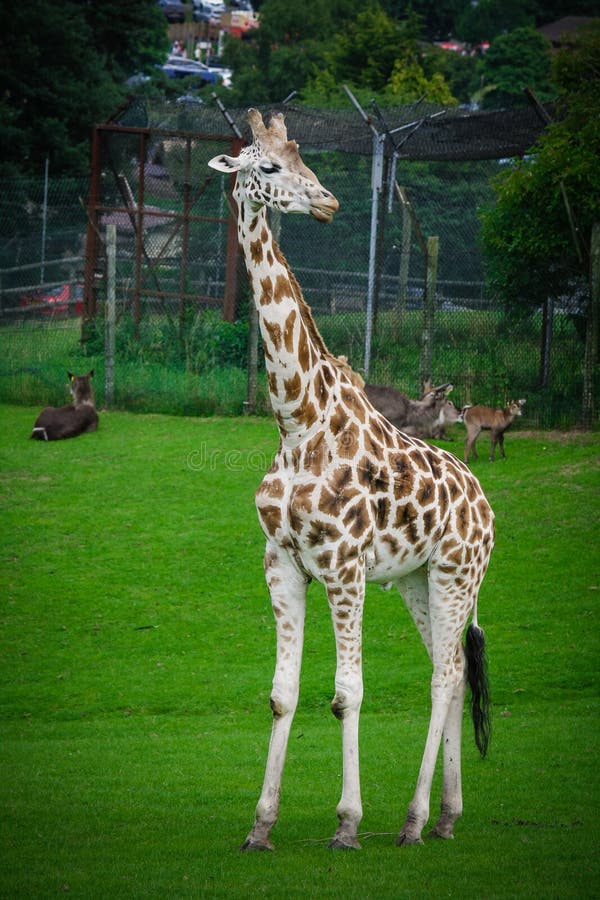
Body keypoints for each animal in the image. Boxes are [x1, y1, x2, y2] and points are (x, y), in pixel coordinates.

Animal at [209, 112, 494, 852]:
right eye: (268, 167)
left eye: (300, 158)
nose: (328, 201)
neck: (296, 419)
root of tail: (485, 504)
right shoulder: (282, 562)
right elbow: (282, 694)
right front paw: (261, 826)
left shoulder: (343, 566)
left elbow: (347, 694)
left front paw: (347, 822)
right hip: (418, 581)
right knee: (452, 673)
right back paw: (447, 815)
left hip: (456, 574)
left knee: (445, 675)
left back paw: (414, 820)